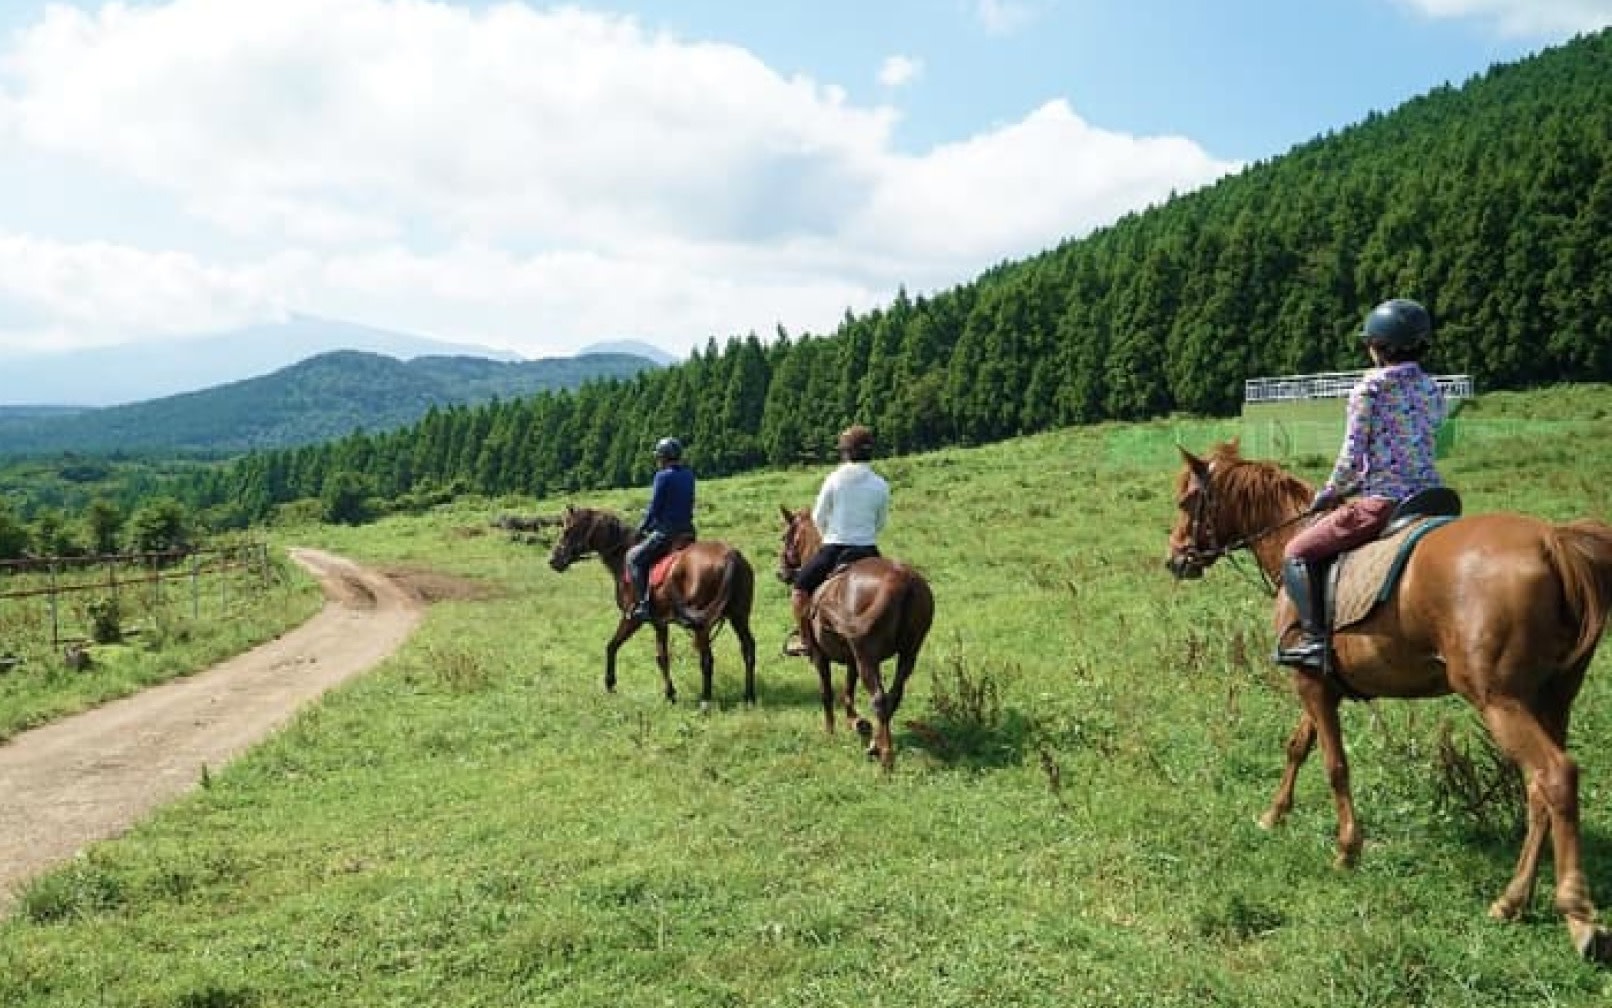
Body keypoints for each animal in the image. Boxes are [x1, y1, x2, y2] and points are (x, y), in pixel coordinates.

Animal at [548, 506, 757, 709]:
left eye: (567, 530)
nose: (553, 560)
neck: (623, 556)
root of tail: (730, 555)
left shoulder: (632, 618)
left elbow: (611, 646)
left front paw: (610, 684)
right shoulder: (659, 623)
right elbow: (662, 657)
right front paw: (670, 695)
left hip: (702, 626)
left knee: (707, 659)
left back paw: (706, 701)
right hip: (739, 616)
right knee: (748, 650)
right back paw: (749, 697)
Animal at [777, 506, 935, 770]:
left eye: (784, 537)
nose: (781, 573)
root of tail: (901, 580)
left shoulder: (820, 657)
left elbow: (827, 693)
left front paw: (830, 732)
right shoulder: (852, 657)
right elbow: (848, 689)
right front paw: (856, 722)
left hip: (867, 658)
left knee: (879, 699)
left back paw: (885, 756)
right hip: (908, 654)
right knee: (893, 696)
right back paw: (876, 745)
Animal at [1165, 440, 1612, 959]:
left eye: (1186, 501)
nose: (1175, 559)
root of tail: (1551, 541)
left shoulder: (1310, 683)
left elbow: (1335, 766)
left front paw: (1347, 849)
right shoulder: (1322, 683)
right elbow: (1299, 746)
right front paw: (1273, 814)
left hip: (1501, 701)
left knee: (1555, 776)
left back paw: (1578, 917)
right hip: (1551, 700)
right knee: (1539, 789)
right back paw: (1512, 900)